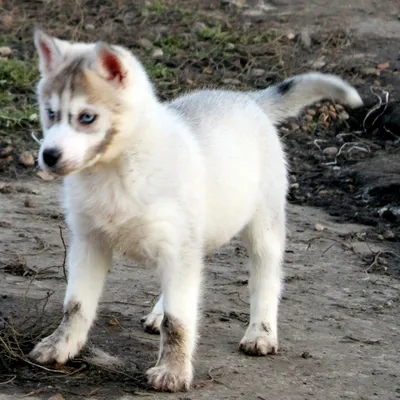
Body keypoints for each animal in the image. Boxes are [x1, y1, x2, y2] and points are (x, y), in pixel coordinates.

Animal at [30, 29, 362, 392]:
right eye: (50, 113)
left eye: (86, 117)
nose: (48, 156)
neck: (115, 172)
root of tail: (246, 100)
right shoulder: (90, 242)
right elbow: (75, 306)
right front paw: (60, 345)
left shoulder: (177, 247)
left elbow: (179, 321)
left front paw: (173, 372)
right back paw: (158, 312)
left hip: (263, 228)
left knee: (266, 278)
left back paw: (261, 333)